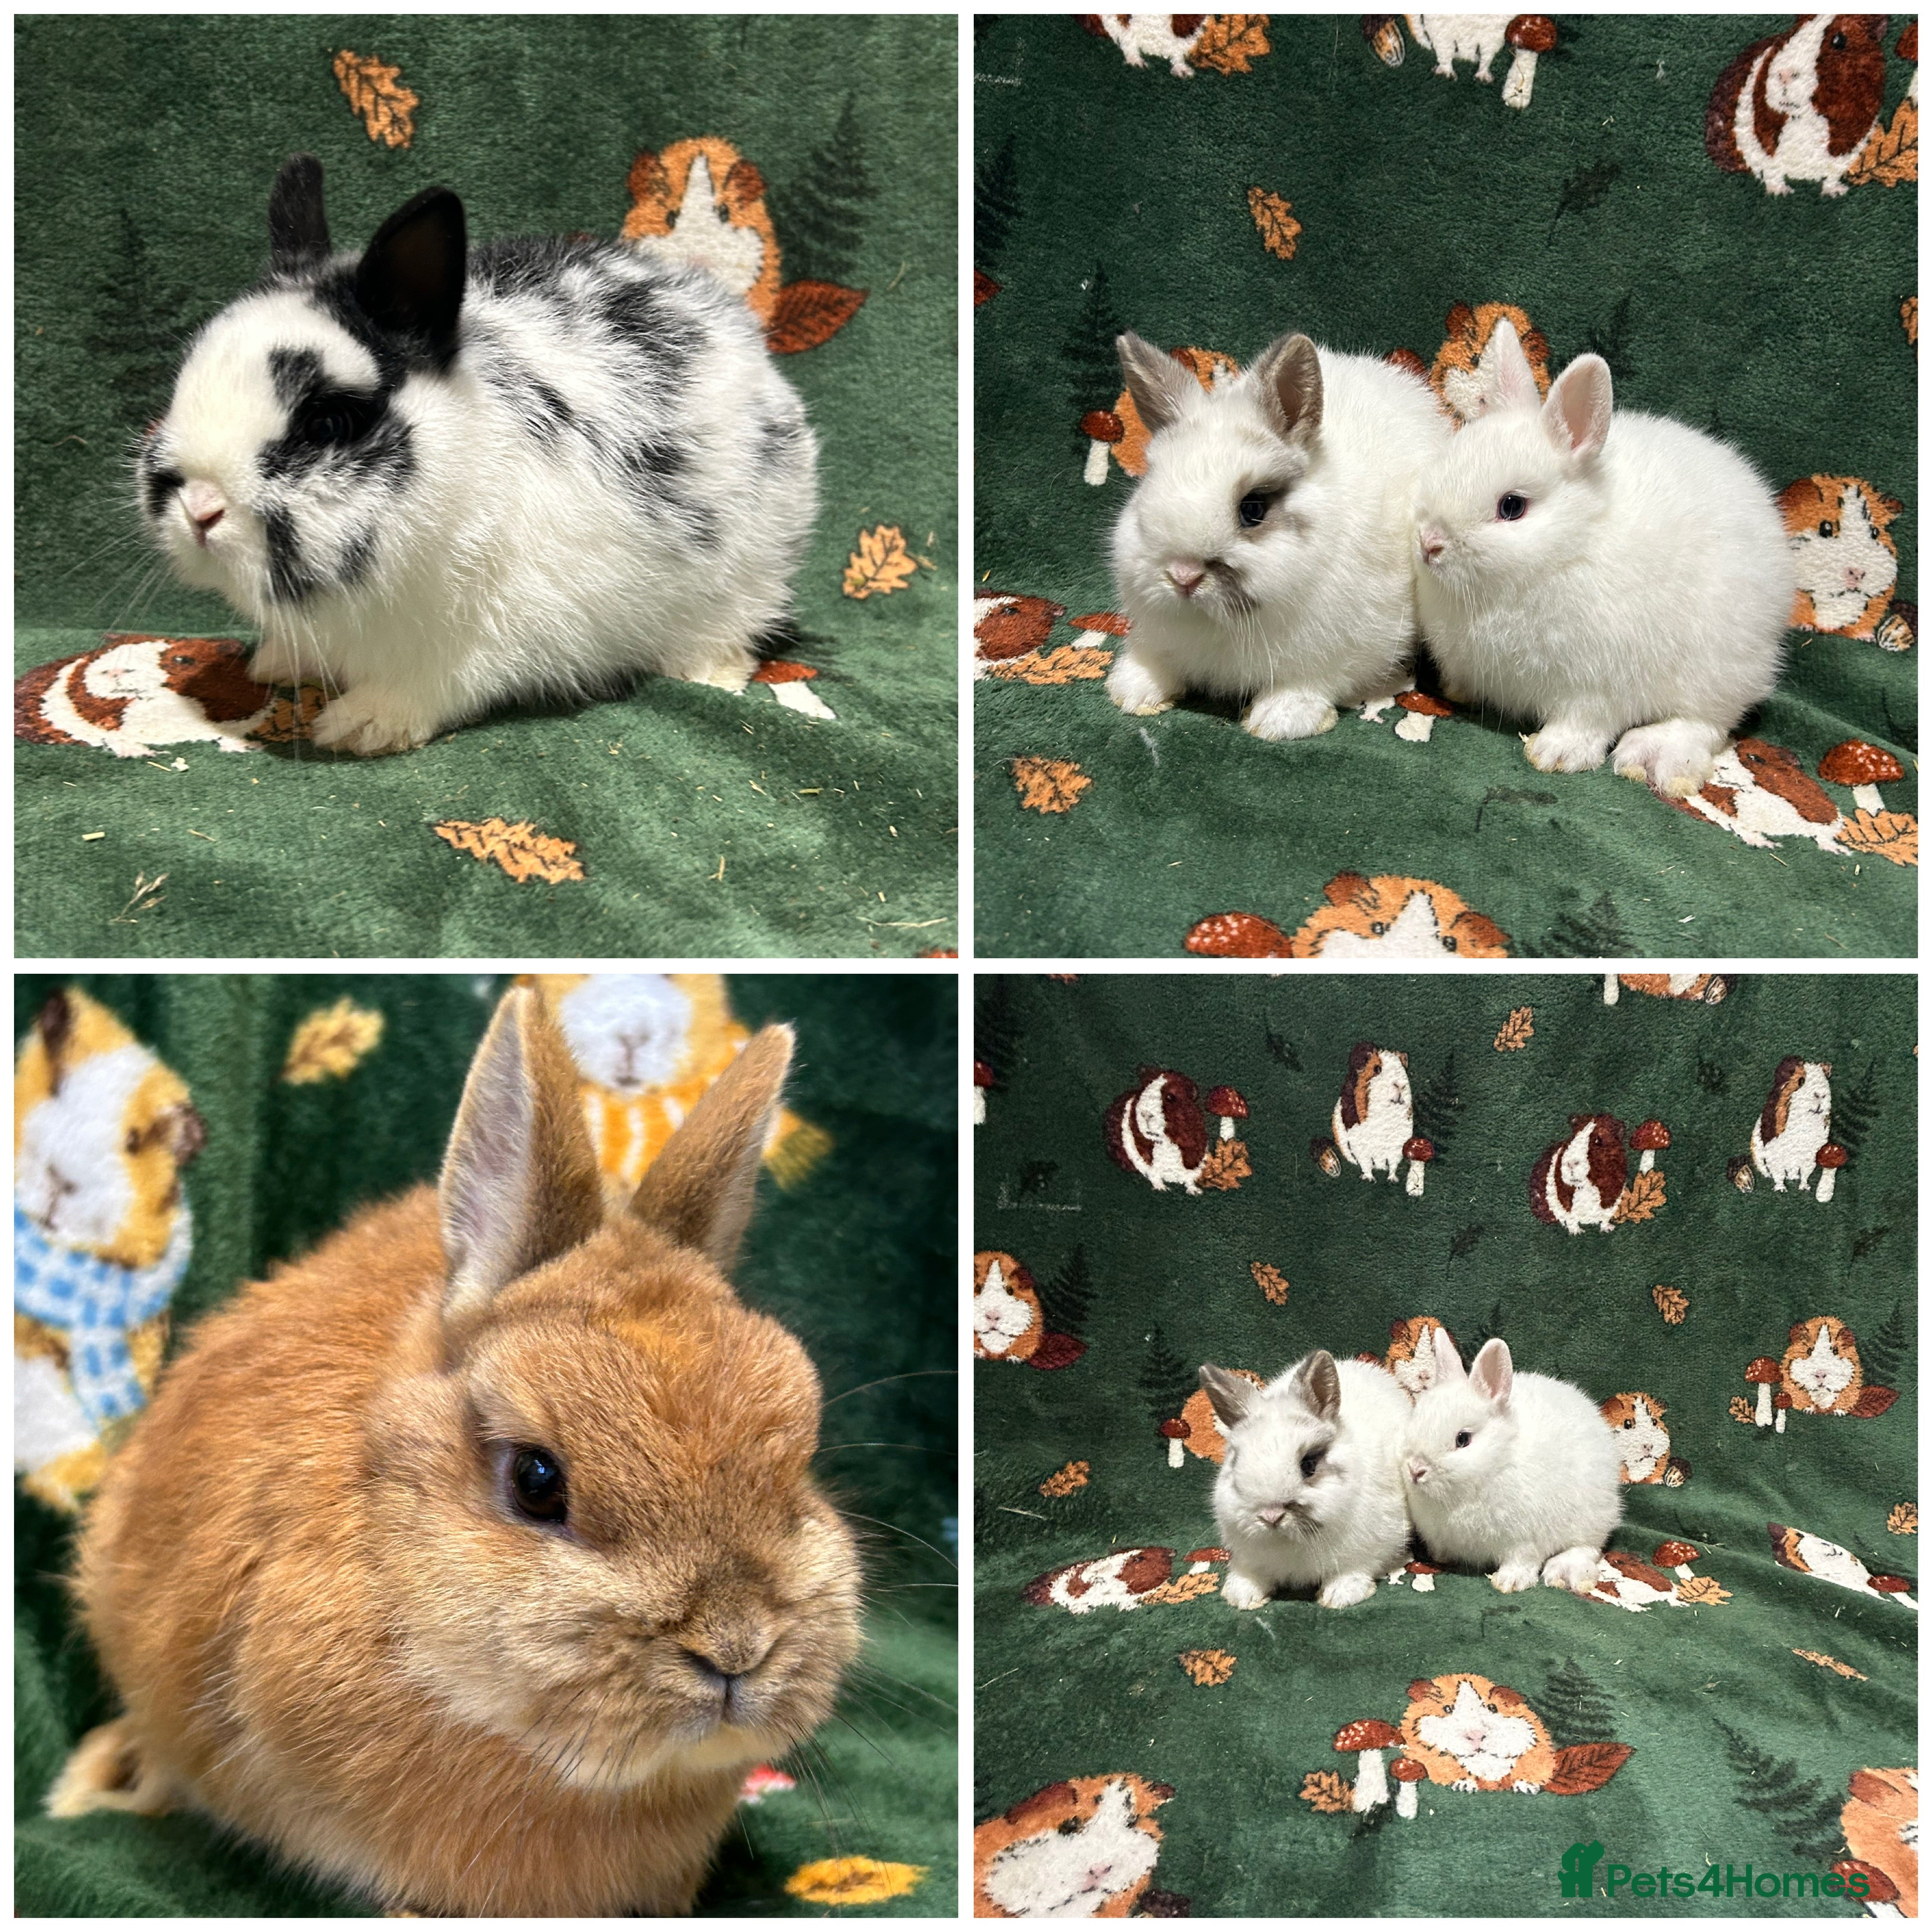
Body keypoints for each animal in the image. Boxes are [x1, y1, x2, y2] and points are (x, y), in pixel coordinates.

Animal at [136, 153, 818, 755]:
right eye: (185, 382)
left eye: (329, 422)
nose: (199, 508)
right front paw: (276, 665)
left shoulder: (484, 640)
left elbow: (433, 684)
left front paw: (362, 726)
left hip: (745, 575)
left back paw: (709, 673)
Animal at [1107, 330, 1451, 741]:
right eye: (1148, 490)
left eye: (1253, 509)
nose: (1183, 577)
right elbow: (1158, 663)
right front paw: (1133, 691)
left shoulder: (1333, 654)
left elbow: (1308, 684)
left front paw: (1280, 720)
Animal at [1201, 1350, 1413, 1610]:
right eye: (1236, 1462)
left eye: (1309, 1465)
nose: (1271, 1517)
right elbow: (1251, 1574)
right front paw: (1242, 1596)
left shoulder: (1368, 1550)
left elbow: (1353, 1571)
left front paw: (1339, 1596)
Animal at [1402, 1328, 1622, 1595]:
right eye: (1415, 1421)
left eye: (1463, 1439)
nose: (1415, 1470)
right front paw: (1439, 1557)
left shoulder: (1525, 1540)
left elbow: (1522, 1560)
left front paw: (1510, 1582)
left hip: (1591, 1519)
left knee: (1588, 1548)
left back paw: (1565, 1571)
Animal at [1412, 317, 1795, 796]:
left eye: (1512, 507)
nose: (1429, 543)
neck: (1567, 551)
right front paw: (1457, 690)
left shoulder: (1598, 688)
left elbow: (1586, 723)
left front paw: (1554, 755)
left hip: (1719, 667)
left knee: (1706, 723)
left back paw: (1656, 757)